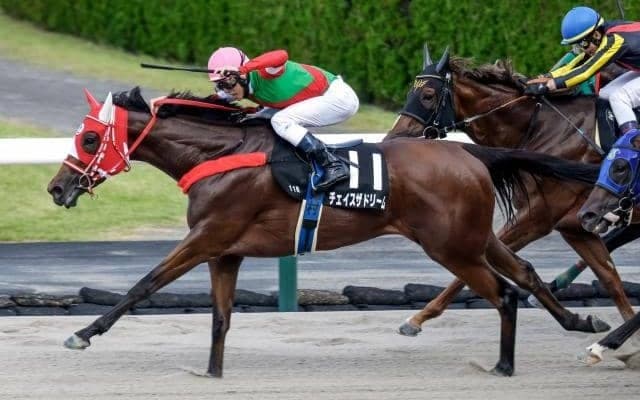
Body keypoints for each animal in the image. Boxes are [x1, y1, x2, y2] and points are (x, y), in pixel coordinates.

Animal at [46, 87, 608, 377]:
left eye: (90, 138)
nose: (56, 187)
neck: (219, 154)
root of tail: (469, 153)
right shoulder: (225, 251)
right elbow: (220, 317)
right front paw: (212, 372)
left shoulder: (208, 236)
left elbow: (144, 284)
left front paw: (82, 334)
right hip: (474, 238)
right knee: (525, 273)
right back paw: (583, 323)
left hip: (452, 247)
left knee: (505, 293)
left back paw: (504, 366)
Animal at [387, 47, 637, 337]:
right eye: (409, 93)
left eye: (427, 95)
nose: (393, 138)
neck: (542, 127)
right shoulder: (574, 226)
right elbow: (609, 276)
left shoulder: (538, 216)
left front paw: (418, 317)